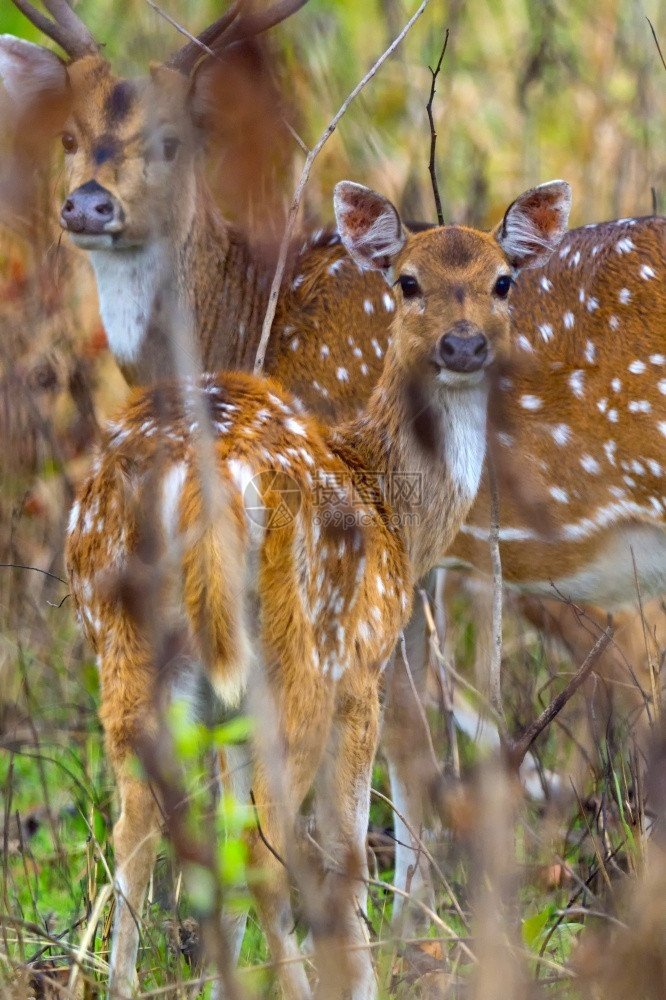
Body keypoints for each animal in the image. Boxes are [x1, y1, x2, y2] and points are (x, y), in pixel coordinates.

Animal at [63, 178, 572, 992]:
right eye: (407, 282)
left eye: (503, 281)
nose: (463, 345)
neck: (397, 510)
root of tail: (201, 482)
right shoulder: (363, 665)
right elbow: (347, 849)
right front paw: (365, 975)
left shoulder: (227, 705)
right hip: (304, 647)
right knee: (270, 840)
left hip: (128, 638)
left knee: (137, 825)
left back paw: (124, 982)